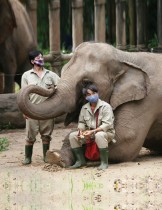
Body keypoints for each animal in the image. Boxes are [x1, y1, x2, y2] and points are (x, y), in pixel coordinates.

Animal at [17, 41, 162, 165]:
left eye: (86, 82)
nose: (51, 87)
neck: (125, 57)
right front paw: (55, 155)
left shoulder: (147, 99)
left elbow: (127, 140)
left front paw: (56, 156)